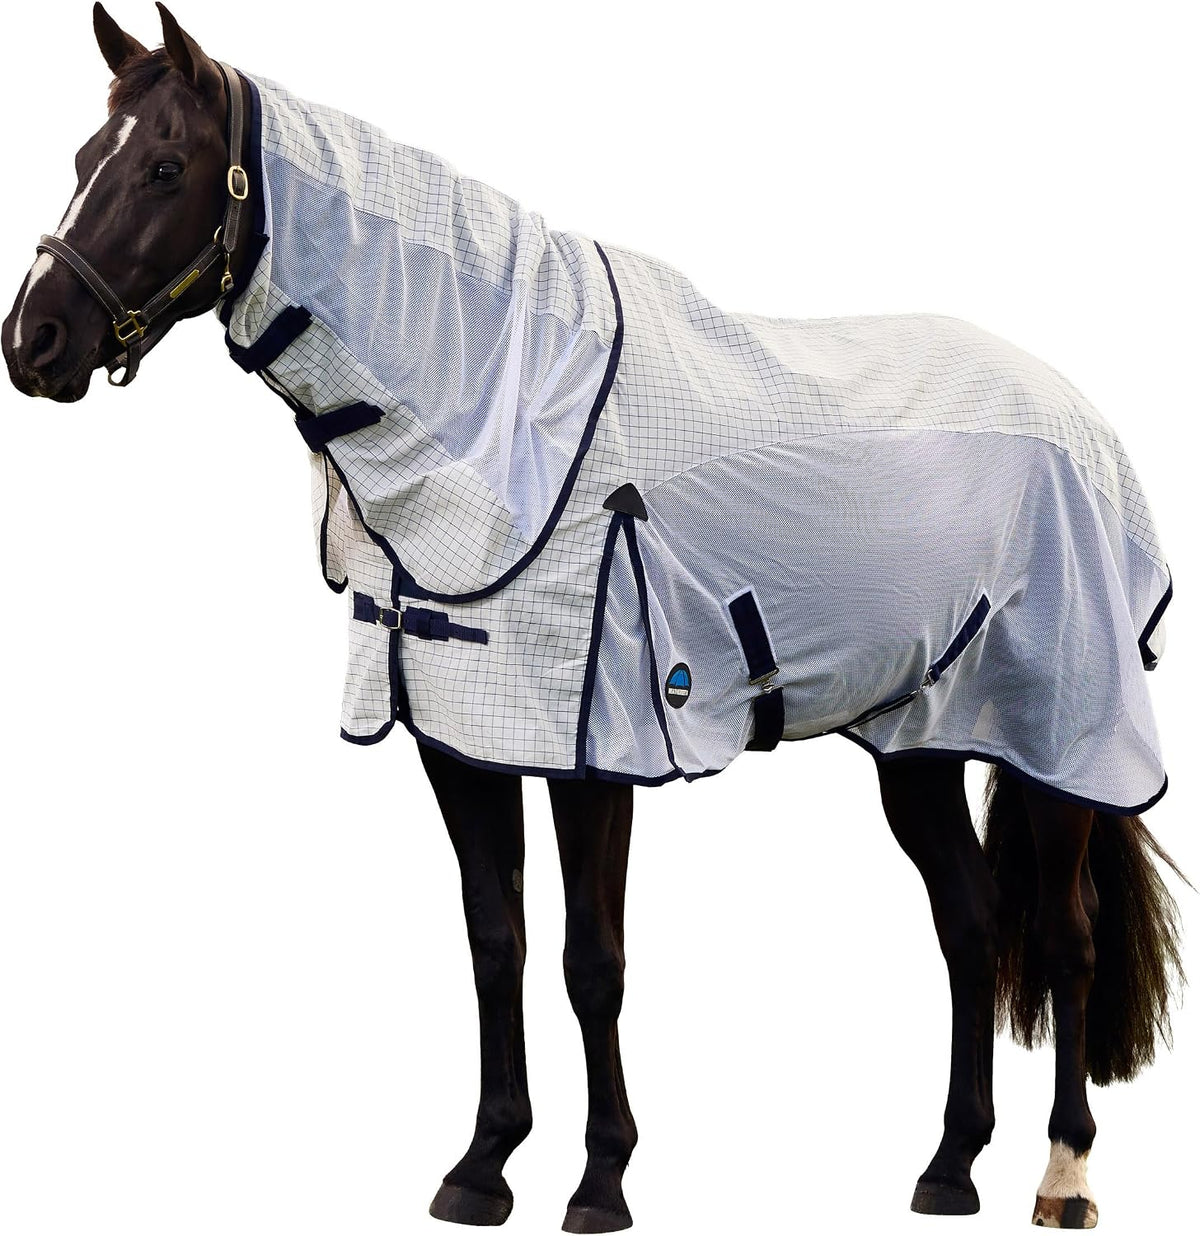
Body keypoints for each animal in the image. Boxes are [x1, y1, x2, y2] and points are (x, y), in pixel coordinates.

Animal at [1, 6, 1185, 1231]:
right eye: (83, 162)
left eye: (165, 167)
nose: (32, 342)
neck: (500, 399)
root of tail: (1078, 411)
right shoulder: (463, 732)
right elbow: (496, 941)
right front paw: (482, 1166)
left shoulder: (595, 744)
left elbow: (591, 962)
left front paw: (601, 1179)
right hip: (923, 737)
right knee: (970, 924)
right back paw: (949, 1168)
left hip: (1059, 735)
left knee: (1066, 939)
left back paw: (1063, 1175)